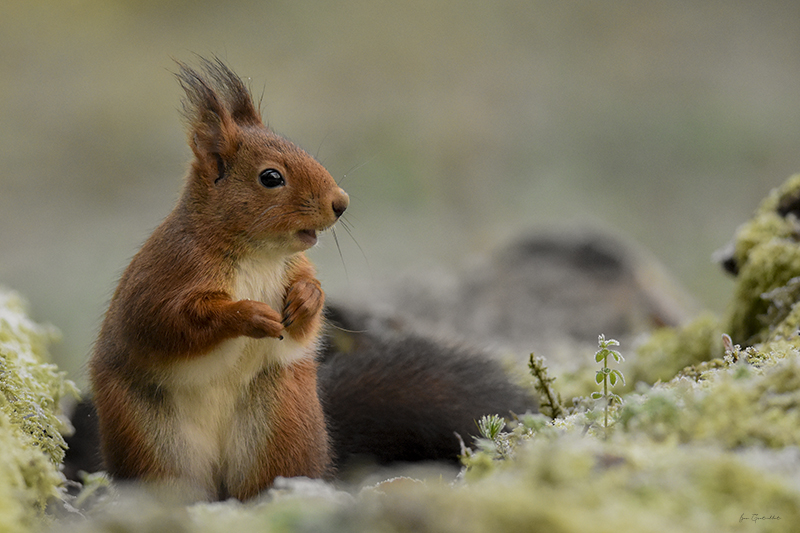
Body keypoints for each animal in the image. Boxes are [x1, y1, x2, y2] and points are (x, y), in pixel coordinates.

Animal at [89, 57, 348, 498]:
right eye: (271, 177)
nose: (341, 202)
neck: (258, 254)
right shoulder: (166, 277)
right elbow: (171, 322)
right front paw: (249, 316)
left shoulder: (295, 266)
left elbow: (304, 321)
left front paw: (306, 298)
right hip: (152, 440)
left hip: (280, 423)